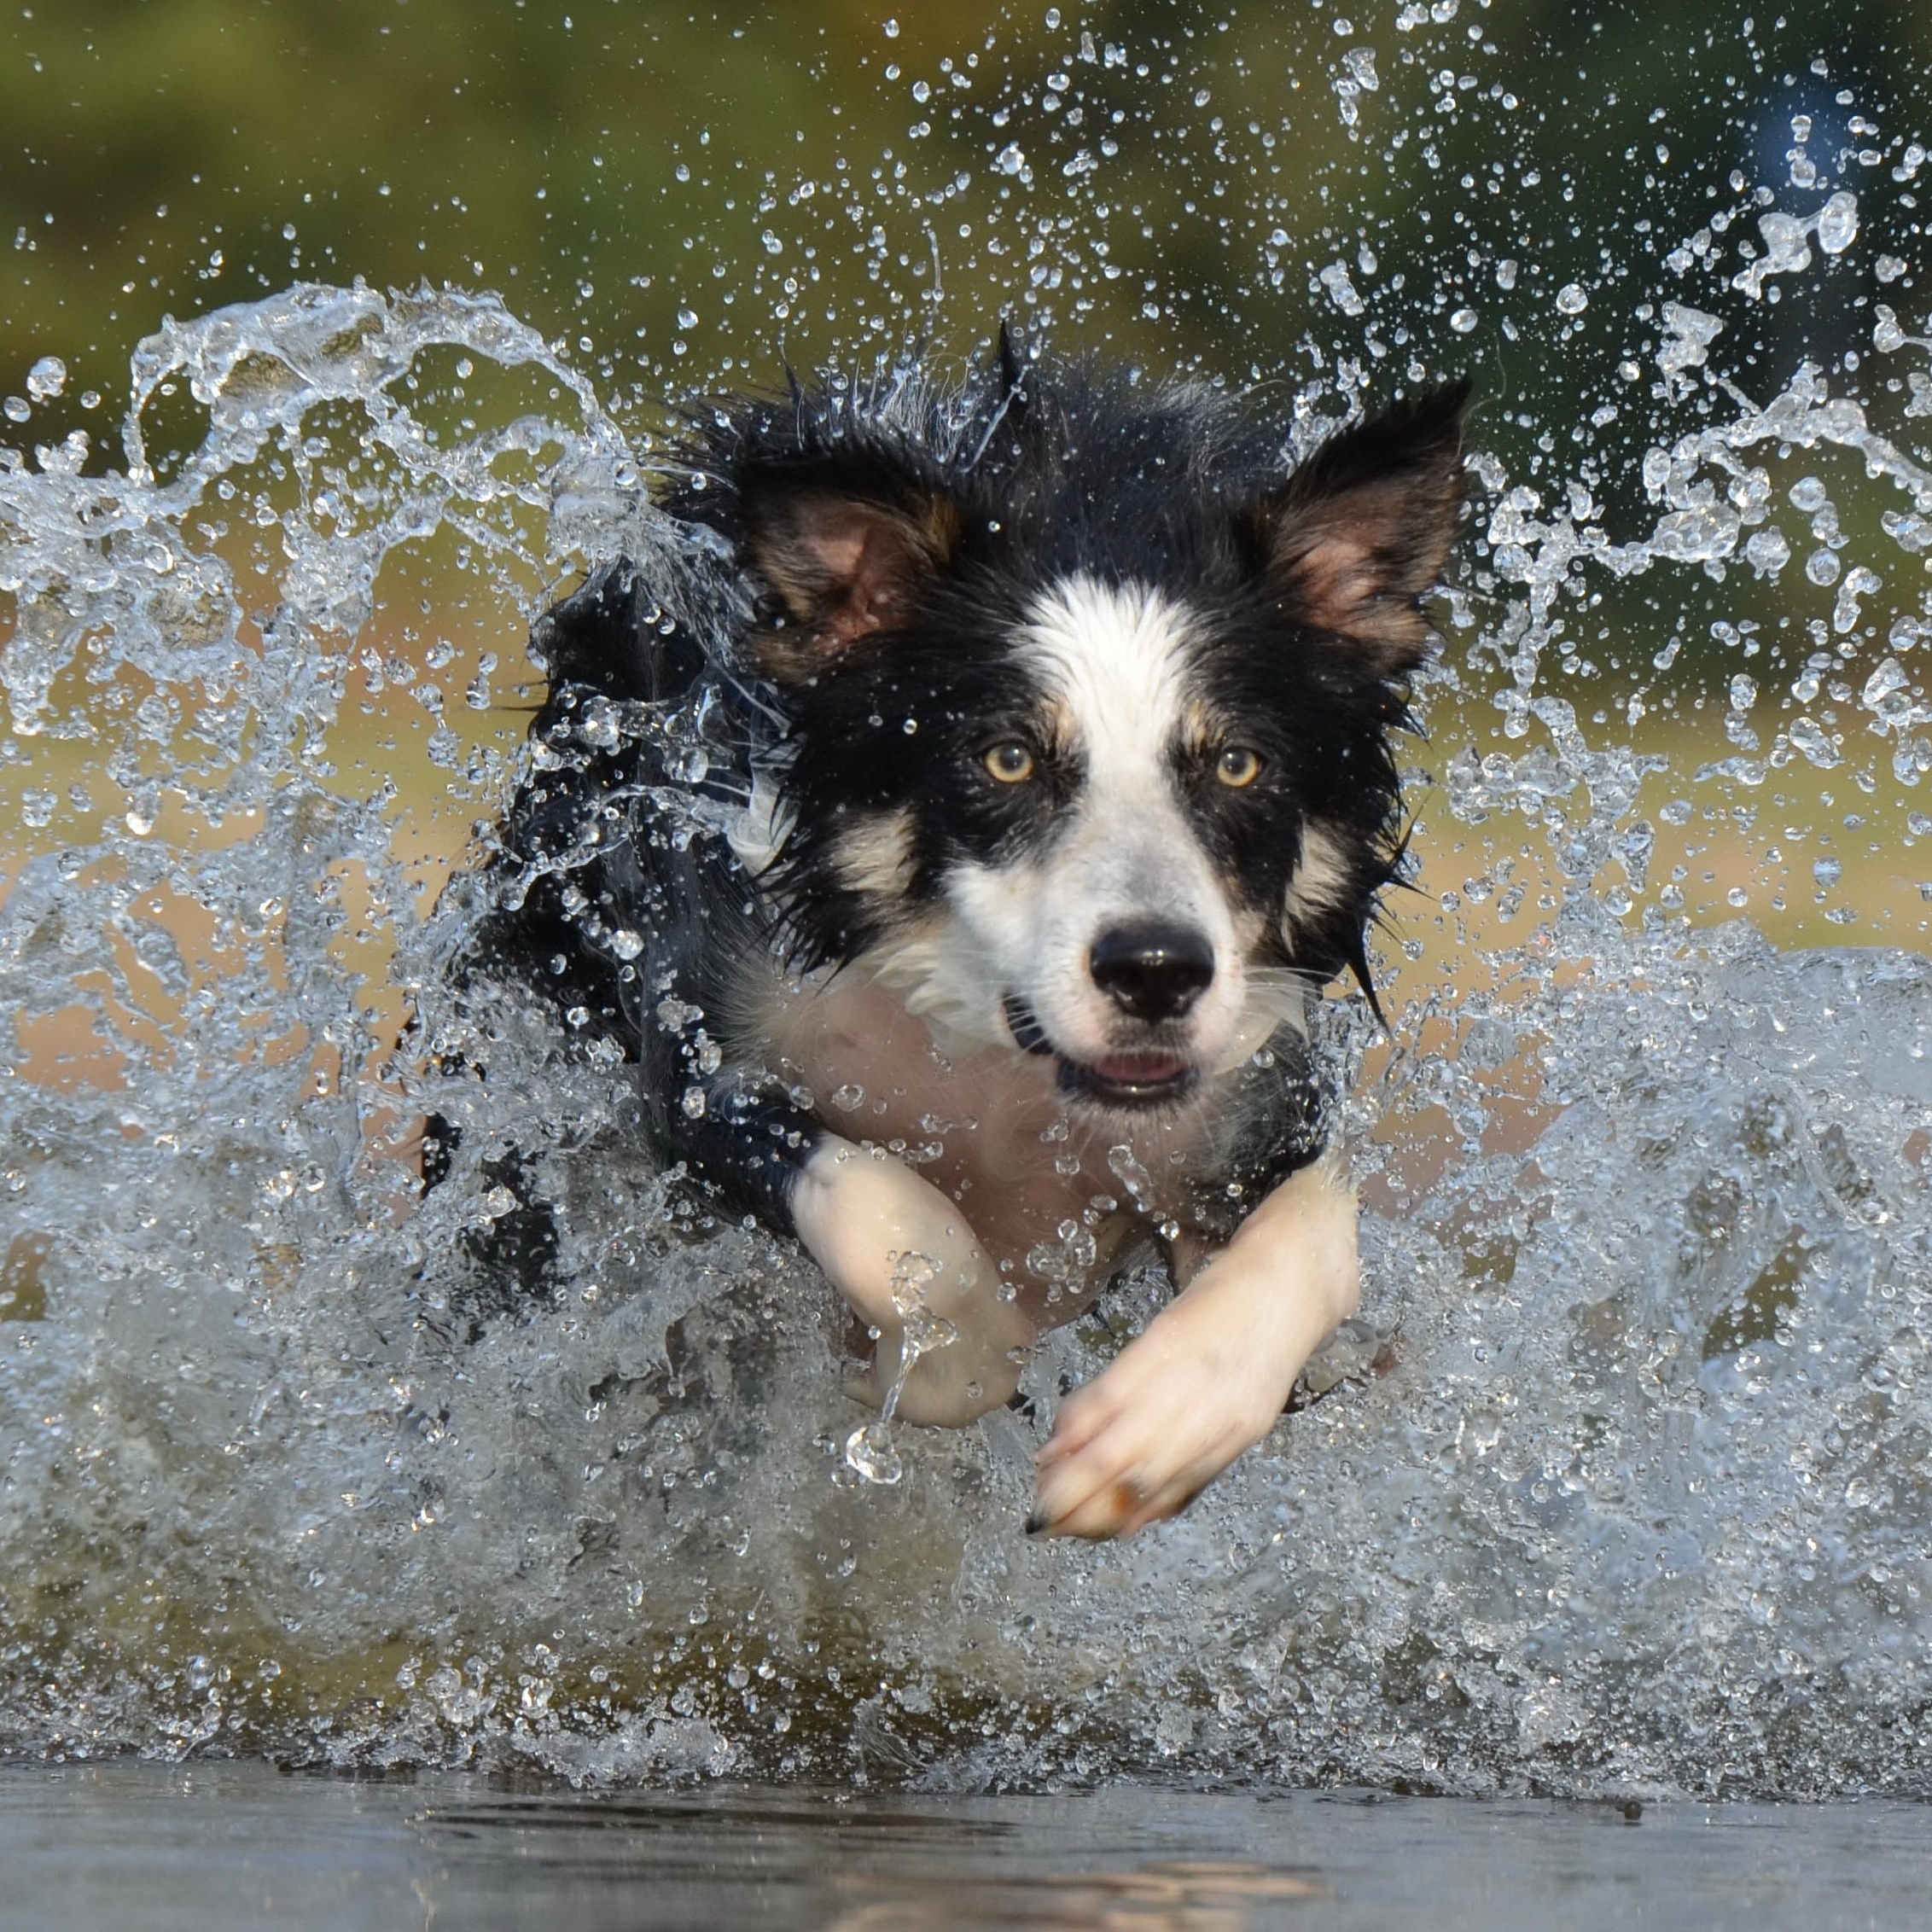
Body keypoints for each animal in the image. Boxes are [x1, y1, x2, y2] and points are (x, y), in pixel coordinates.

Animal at [456, 332, 1460, 1538]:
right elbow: (900, 1220)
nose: (1155, 971)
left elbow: (1318, 1224)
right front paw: (943, 1355)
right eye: (1006, 758)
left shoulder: (1251, 1092)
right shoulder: (703, 1051)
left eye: (1235, 762)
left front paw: (1159, 1423)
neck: (992, 1055)